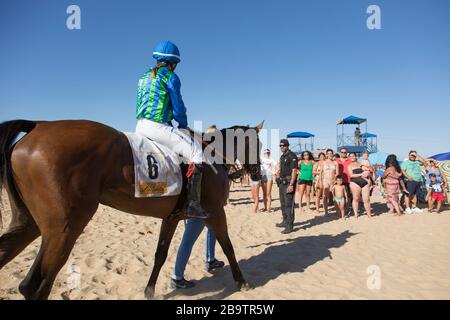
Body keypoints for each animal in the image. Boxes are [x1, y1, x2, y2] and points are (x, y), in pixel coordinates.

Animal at [0, 119, 262, 298]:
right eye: (259, 145)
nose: (258, 173)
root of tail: (38, 125)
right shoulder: (216, 212)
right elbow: (228, 246)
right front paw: (242, 281)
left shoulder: (172, 217)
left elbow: (160, 254)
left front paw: (149, 290)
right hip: (64, 230)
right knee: (39, 285)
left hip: (31, 225)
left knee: (20, 272)